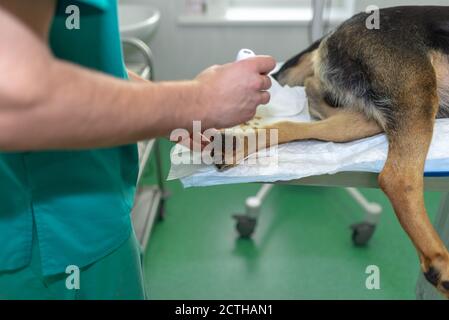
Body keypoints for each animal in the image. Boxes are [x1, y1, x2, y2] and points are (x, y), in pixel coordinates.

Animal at [217, 5, 448, 298]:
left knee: (299, 115)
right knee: (398, 179)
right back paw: (440, 262)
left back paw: (236, 147)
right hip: (415, 91)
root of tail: (340, 27)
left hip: (365, 119)